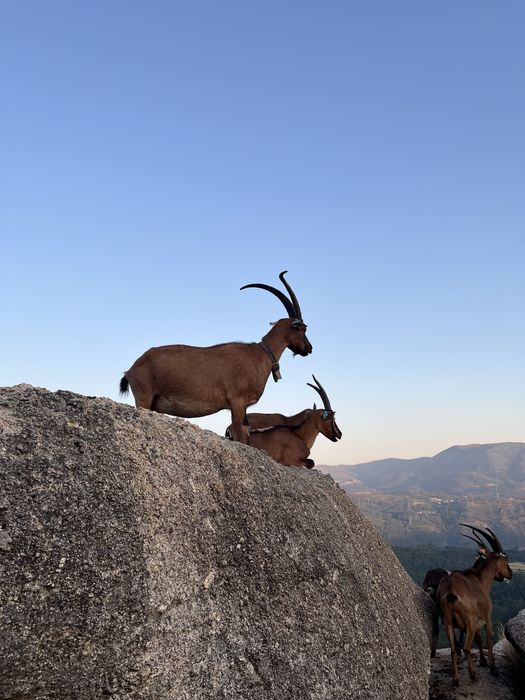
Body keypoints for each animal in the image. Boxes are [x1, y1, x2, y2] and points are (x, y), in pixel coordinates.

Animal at [119, 271, 312, 444]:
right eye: (303, 329)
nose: (309, 349)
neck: (260, 354)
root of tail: (131, 370)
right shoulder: (237, 401)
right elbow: (241, 432)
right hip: (144, 396)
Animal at [437, 524, 512, 685]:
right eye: (505, 558)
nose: (511, 573)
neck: (481, 580)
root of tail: (451, 592)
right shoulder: (486, 617)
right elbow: (488, 639)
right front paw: (493, 668)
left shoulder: (476, 622)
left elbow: (478, 640)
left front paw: (483, 662)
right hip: (469, 621)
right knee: (466, 648)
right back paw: (473, 675)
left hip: (448, 622)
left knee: (453, 649)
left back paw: (456, 679)